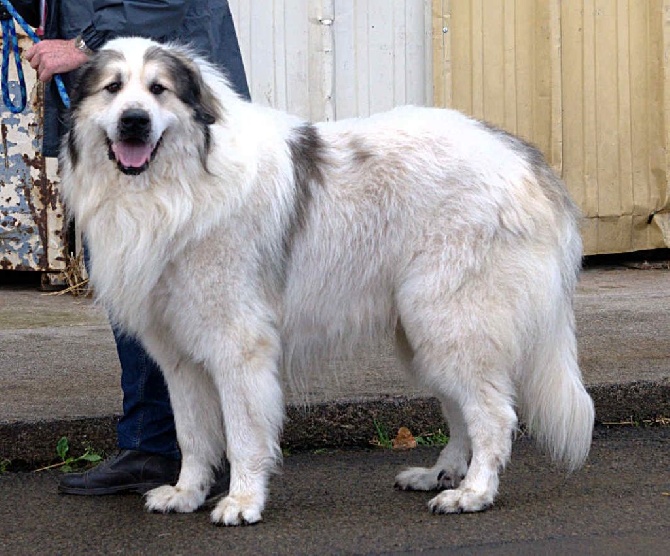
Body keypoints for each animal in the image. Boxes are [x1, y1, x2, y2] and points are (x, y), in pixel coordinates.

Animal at [60, 38, 596, 524]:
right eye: (113, 88)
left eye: (158, 89)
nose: (134, 121)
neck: (176, 188)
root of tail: (525, 157)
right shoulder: (178, 357)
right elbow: (193, 435)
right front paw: (186, 493)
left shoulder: (238, 346)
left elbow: (243, 433)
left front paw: (242, 501)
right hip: (425, 335)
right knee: (462, 410)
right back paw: (441, 475)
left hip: (450, 322)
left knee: (493, 415)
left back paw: (473, 493)